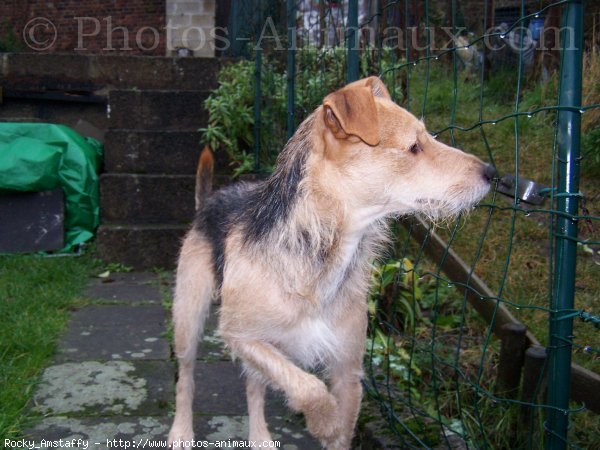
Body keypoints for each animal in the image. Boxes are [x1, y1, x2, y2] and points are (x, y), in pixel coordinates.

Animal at [166, 77, 494, 450]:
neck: (323, 251)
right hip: (188, 320)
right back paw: (181, 432)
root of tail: (210, 200)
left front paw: (331, 427)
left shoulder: (347, 371)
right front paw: (324, 422)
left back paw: (260, 437)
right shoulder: (241, 335)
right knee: (186, 378)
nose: (492, 173)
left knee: (254, 386)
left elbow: (335, 419)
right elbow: (309, 388)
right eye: (414, 147)